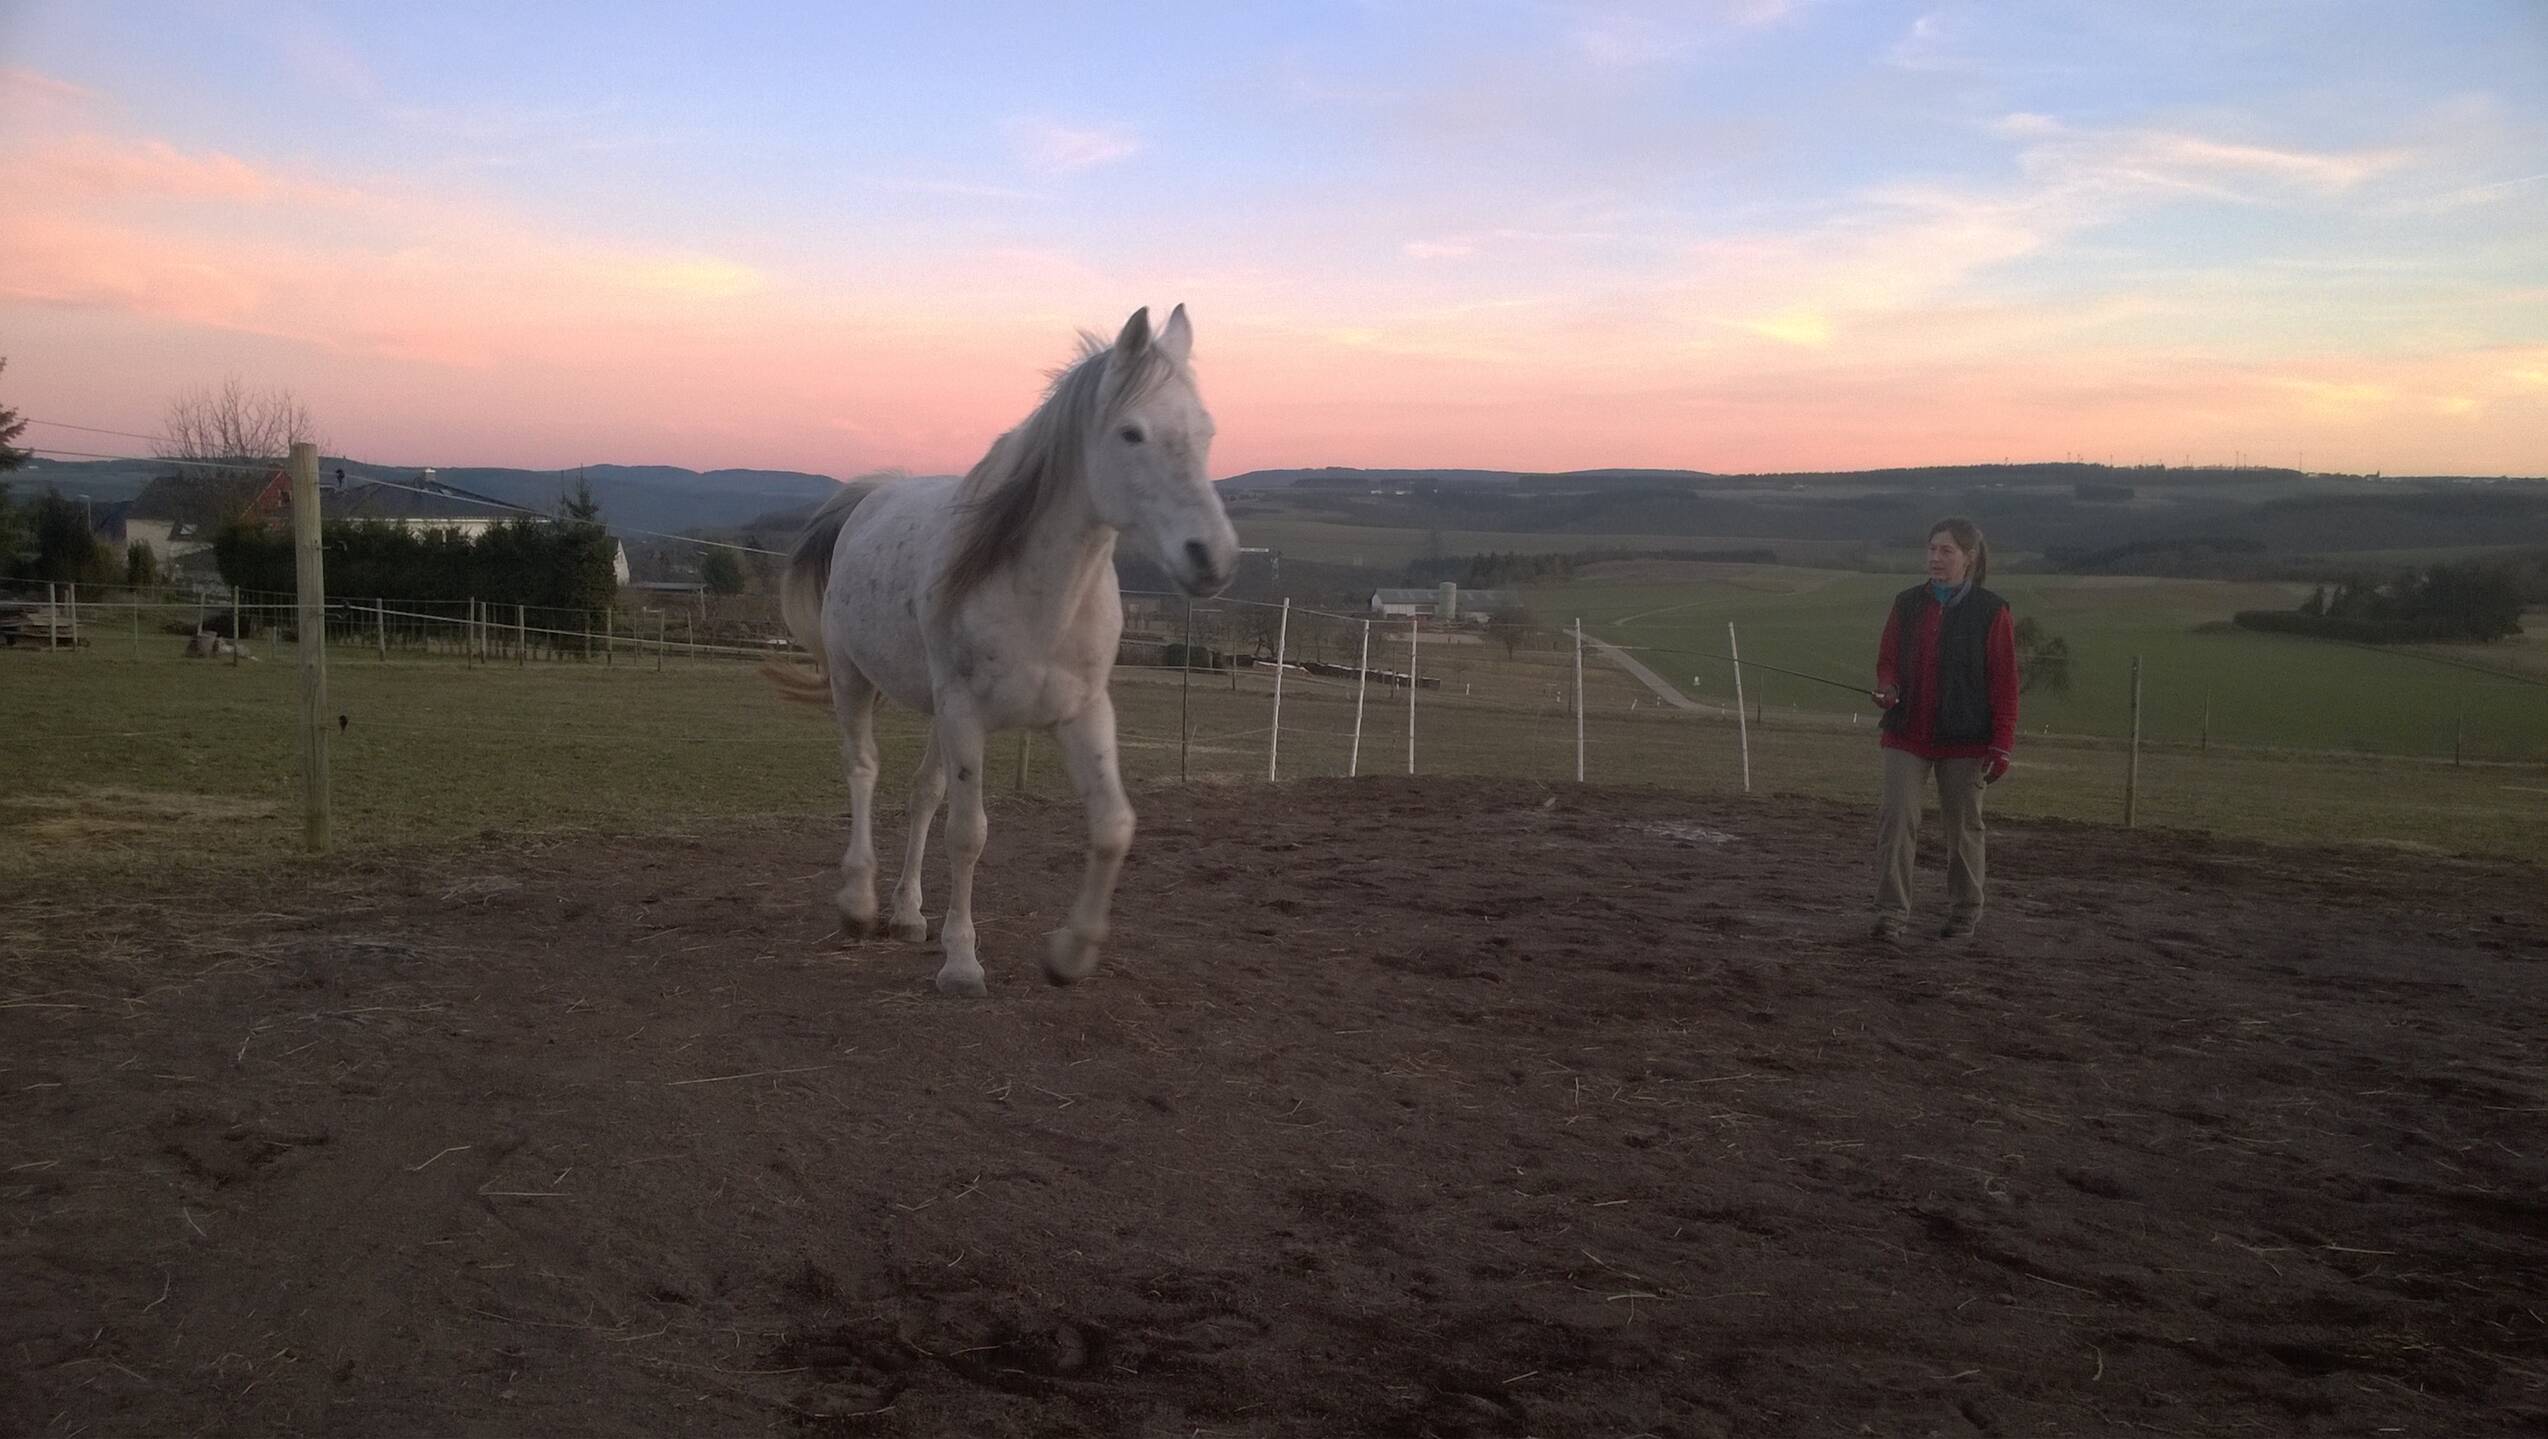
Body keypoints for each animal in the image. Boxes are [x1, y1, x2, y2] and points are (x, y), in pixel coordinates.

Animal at [764, 305, 1237, 995]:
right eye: (1131, 434)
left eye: (1205, 431)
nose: (1213, 558)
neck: (1039, 597)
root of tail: (873, 497)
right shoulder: (966, 714)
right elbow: (969, 833)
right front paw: (962, 963)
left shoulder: (1083, 713)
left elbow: (1113, 826)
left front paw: (1070, 953)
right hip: (855, 681)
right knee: (863, 771)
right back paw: (859, 905)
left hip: (933, 709)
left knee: (922, 793)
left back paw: (907, 916)